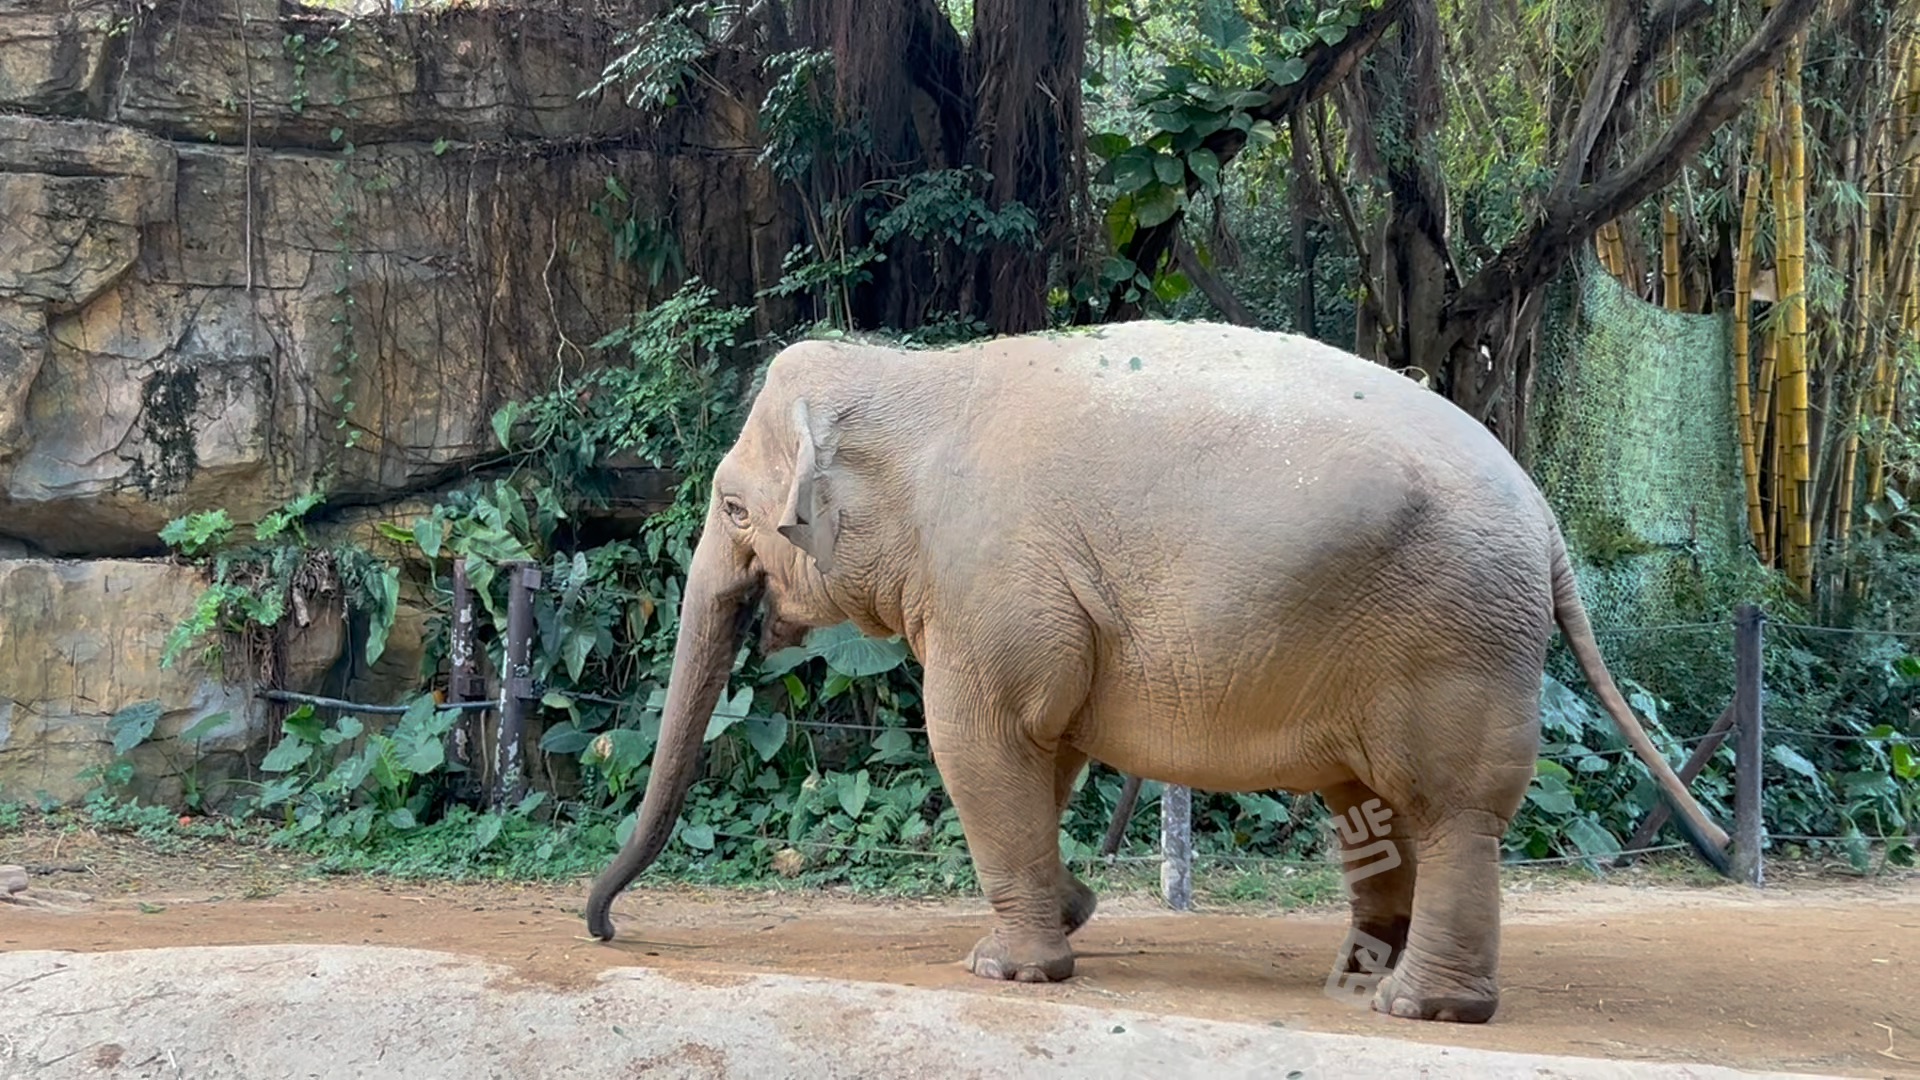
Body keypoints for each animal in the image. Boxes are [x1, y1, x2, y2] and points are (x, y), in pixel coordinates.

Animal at [579, 317, 1728, 1014]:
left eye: (734, 509)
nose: (608, 930)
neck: (914, 373)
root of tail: (1545, 516)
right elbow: (1047, 753)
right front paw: (1073, 910)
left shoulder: (993, 579)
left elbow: (982, 742)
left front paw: (1007, 967)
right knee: (1377, 810)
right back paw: (1363, 976)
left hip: (1457, 638)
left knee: (1450, 811)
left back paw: (1419, 1005)